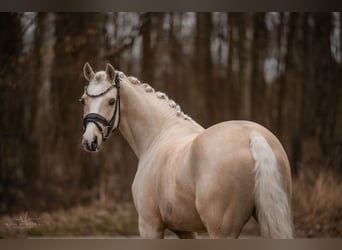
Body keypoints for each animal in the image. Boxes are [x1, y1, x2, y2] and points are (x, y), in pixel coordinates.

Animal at [79, 62, 292, 238]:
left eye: (111, 101)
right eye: (83, 101)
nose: (90, 141)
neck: (159, 134)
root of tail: (252, 135)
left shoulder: (149, 225)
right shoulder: (184, 230)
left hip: (221, 232)